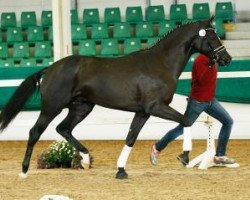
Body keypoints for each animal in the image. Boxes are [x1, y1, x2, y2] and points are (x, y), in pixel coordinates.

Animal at [0, 17, 230, 179]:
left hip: (81, 107)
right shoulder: (155, 106)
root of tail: (49, 68)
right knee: (35, 132)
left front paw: (121, 170)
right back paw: (24, 171)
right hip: (52, 107)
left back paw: (85, 159)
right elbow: (186, 120)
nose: (227, 58)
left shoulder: (143, 112)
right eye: (211, 37)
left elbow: (131, 138)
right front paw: (185, 155)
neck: (160, 64)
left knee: (63, 128)